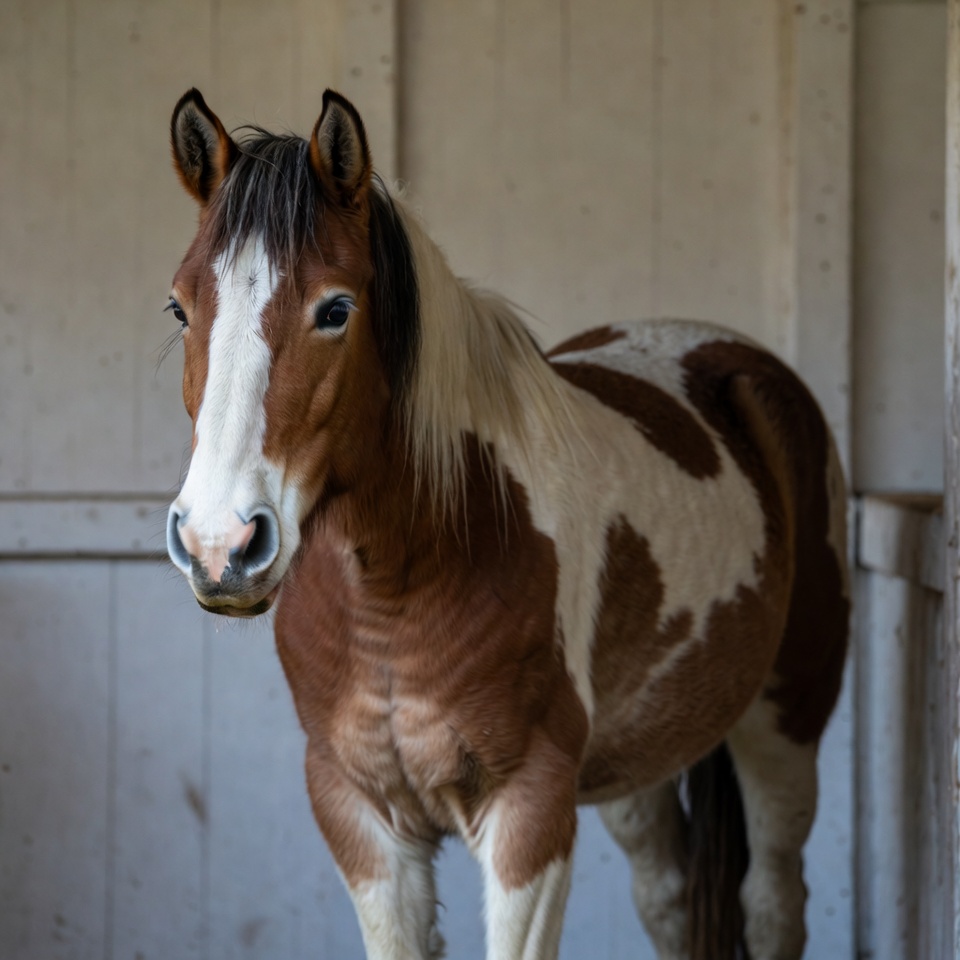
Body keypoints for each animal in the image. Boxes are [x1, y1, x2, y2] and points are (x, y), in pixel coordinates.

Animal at [163, 87, 849, 960]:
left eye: (336, 309)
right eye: (179, 307)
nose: (219, 545)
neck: (401, 580)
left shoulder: (529, 814)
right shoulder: (360, 816)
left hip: (785, 727)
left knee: (772, 903)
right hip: (636, 772)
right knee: (667, 896)